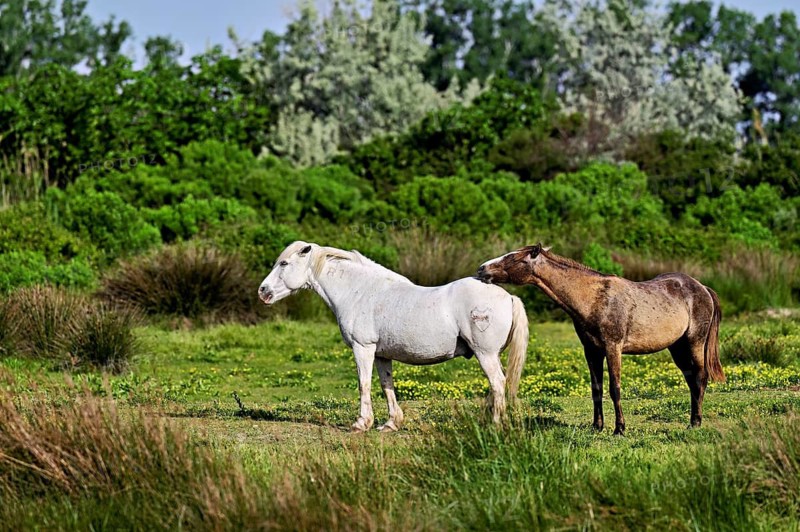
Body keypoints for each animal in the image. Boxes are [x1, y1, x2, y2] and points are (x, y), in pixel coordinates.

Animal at [258, 241, 529, 432]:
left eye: (283, 264)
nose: (263, 291)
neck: (359, 291)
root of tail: (508, 296)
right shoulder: (381, 354)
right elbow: (386, 385)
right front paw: (390, 424)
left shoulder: (363, 348)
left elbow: (364, 384)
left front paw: (361, 423)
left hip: (486, 355)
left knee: (498, 384)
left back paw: (495, 425)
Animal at [477, 244, 724, 435]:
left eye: (513, 257)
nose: (481, 269)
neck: (594, 298)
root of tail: (702, 288)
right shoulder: (592, 350)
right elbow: (596, 388)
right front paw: (597, 426)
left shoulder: (612, 348)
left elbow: (615, 388)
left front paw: (619, 428)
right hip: (677, 348)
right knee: (691, 379)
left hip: (694, 342)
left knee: (700, 377)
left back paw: (695, 423)